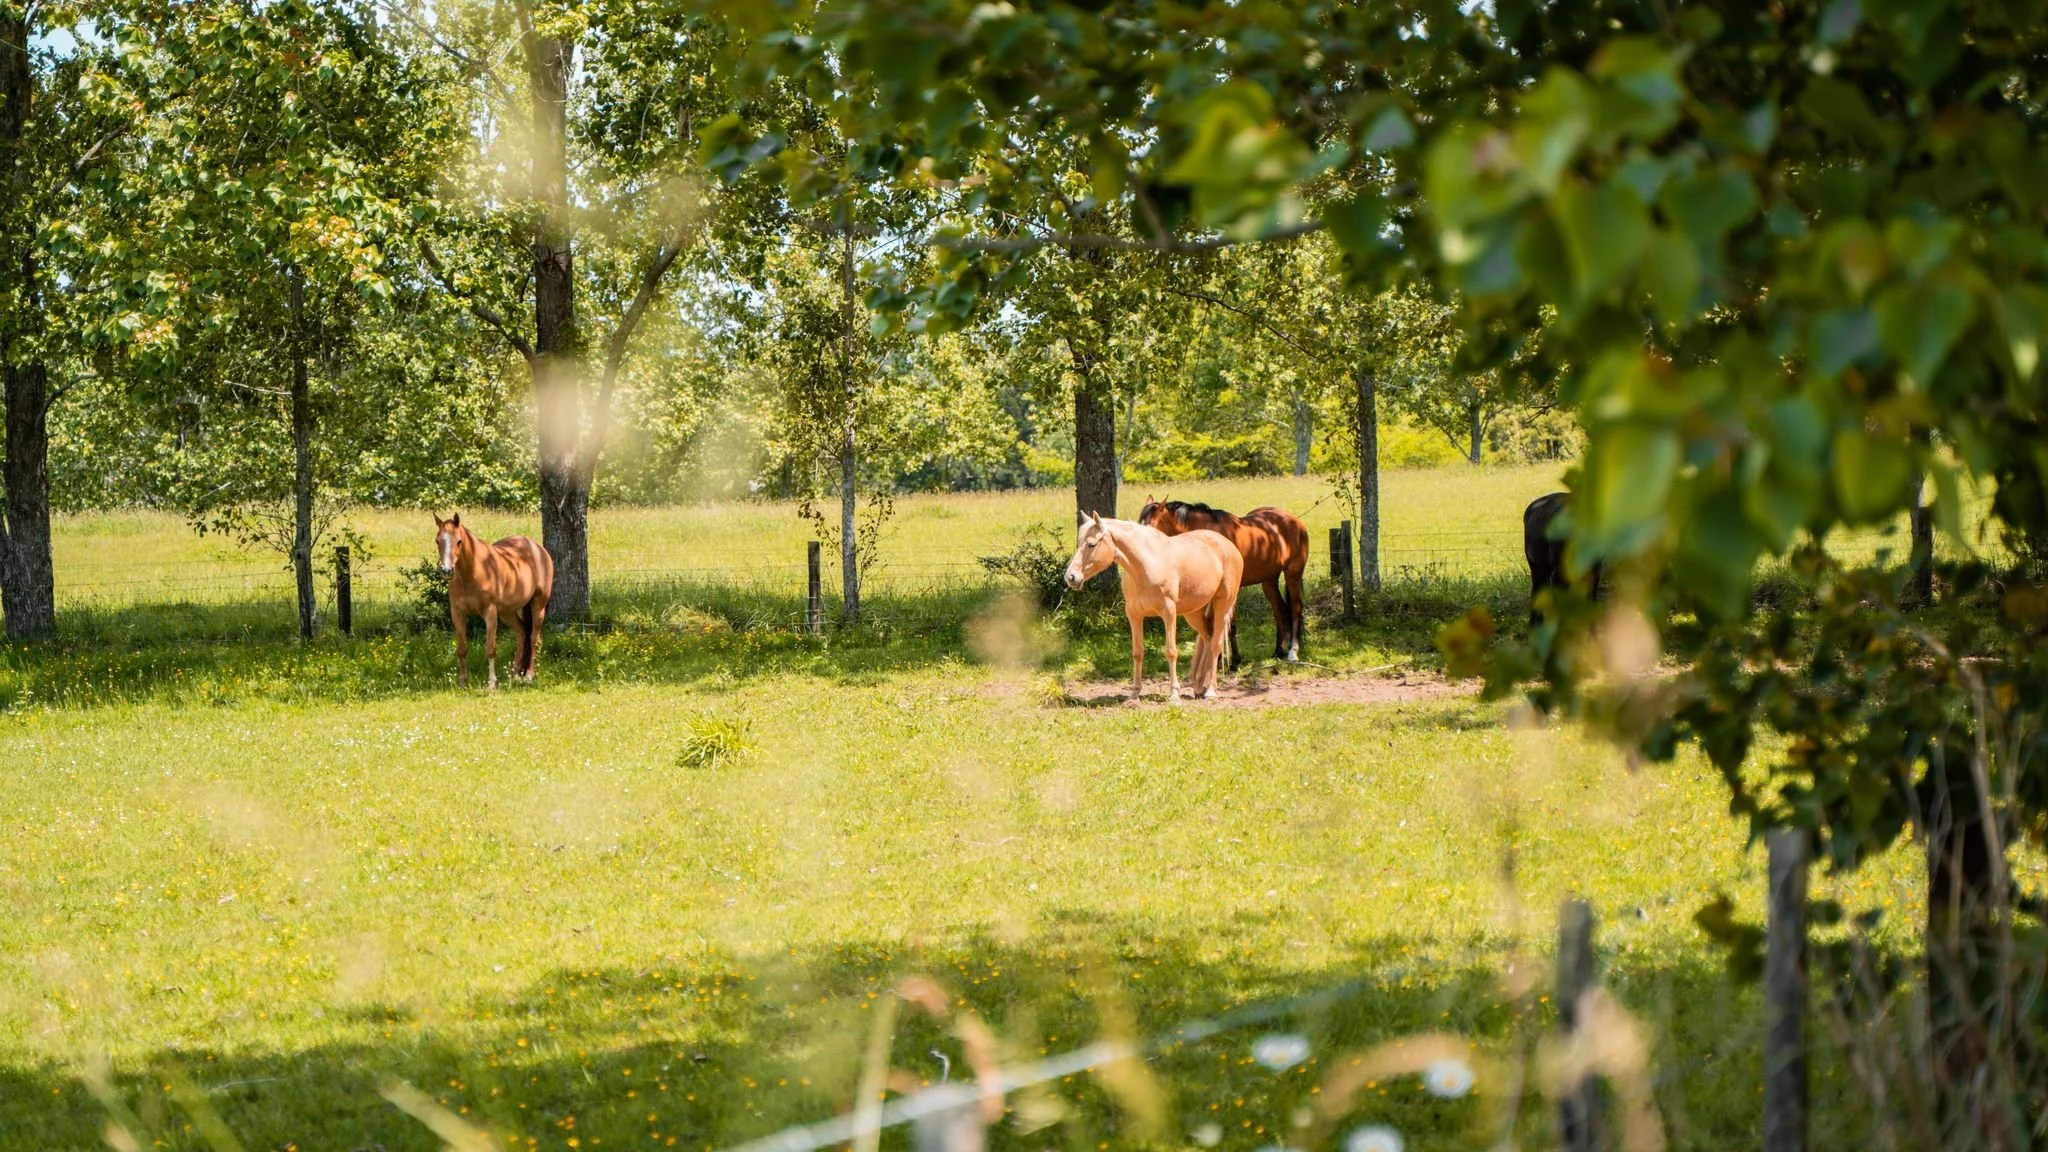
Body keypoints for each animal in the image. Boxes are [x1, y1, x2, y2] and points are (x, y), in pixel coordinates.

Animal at [433, 513, 555, 689]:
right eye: (438, 540)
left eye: (459, 541)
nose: (447, 571)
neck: (472, 573)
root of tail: (538, 548)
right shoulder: (457, 613)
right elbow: (462, 649)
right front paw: (463, 682)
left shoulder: (490, 613)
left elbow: (490, 649)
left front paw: (492, 683)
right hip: (507, 613)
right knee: (522, 633)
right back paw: (515, 674)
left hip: (538, 605)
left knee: (534, 639)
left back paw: (529, 675)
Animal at [1064, 511, 1244, 702]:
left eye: (1091, 544)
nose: (1071, 577)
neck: (1144, 565)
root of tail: (1228, 546)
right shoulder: (1134, 614)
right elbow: (1137, 652)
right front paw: (1134, 694)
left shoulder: (1169, 613)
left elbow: (1171, 651)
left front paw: (1174, 694)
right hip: (1193, 612)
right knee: (1208, 638)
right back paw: (1199, 687)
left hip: (1223, 604)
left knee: (1216, 643)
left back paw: (1210, 690)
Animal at [1137, 497, 1308, 669]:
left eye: (1152, 527)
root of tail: (1292, 520)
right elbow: (1212, 624)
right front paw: (1216, 659)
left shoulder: (1231, 590)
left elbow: (1229, 624)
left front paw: (1235, 661)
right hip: (1269, 580)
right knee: (1279, 610)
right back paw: (1278, 651)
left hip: (1293, 573)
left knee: (1295, 609)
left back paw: (1292, 651)